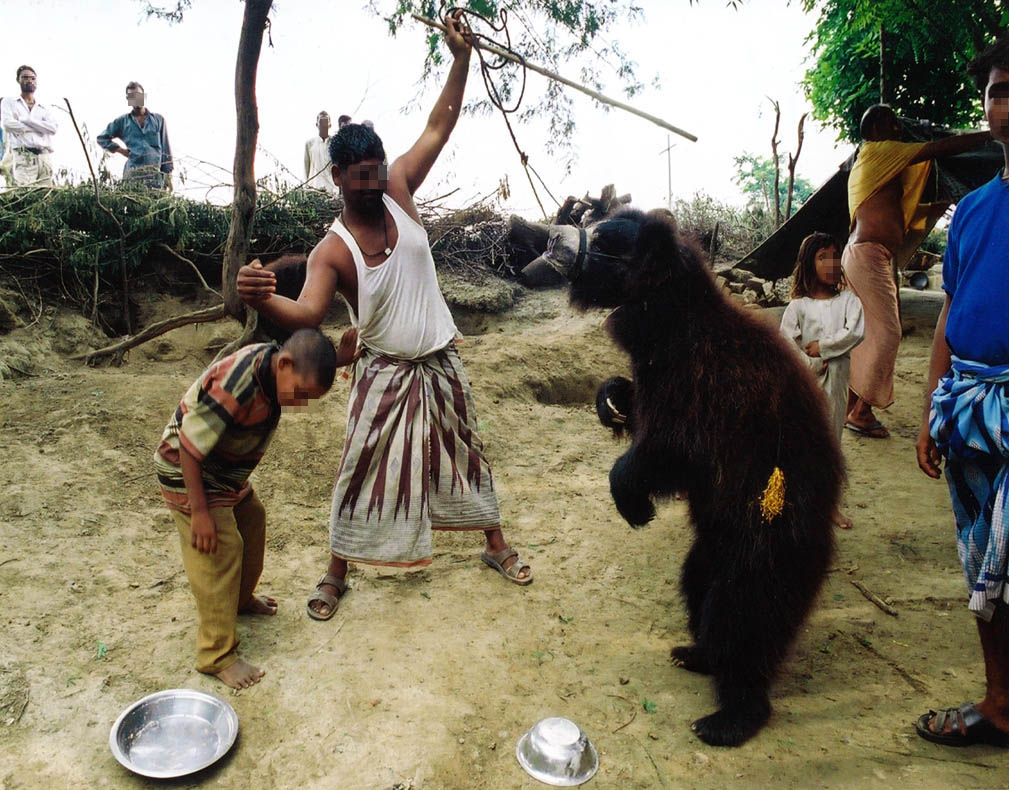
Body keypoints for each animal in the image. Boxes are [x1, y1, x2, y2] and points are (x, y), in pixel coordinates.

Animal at [532, 208, 839, 746]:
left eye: (605, 239)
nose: (551, 239)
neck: (665, 319)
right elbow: (636, 406)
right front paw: (610, 399)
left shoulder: (706, 381)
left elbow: (672, 446)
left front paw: (633, 503)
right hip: (717, 541)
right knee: (698, 584)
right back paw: (694, 653)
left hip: (767, 534)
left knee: (745, 615)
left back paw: (728, 716)